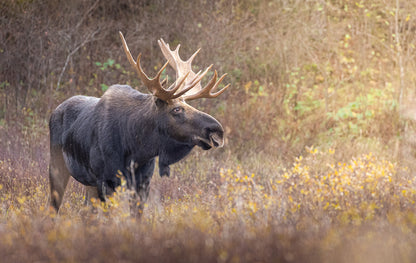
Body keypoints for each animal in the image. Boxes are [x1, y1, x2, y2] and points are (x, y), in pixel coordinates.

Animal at [49, 32, 231, 214]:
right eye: (176, 109)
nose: (217, 131)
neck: (136, 149)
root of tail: (56, 110)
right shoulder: (106, 181)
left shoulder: (143, 182)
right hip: (57, 168)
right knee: (54, 208)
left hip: (89, 183)